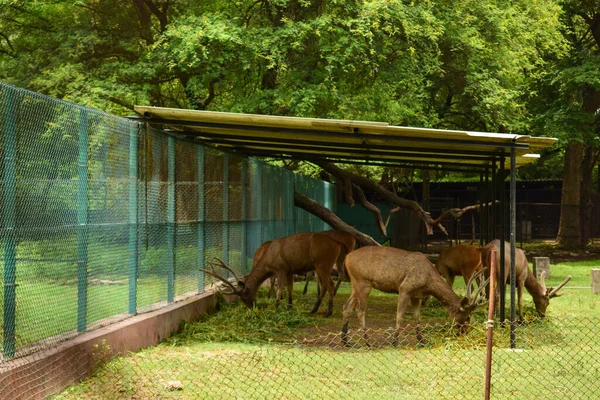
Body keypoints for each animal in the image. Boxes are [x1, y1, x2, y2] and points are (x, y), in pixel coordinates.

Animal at [202, 230, 354, 318]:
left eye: (244, 296)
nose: (252, 308)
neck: (267, 261)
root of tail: (338, 243)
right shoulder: (290, 270)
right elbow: (290, 289)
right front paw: (289, 307)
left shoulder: (281, 268)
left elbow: (280, 288)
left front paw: (276, 308)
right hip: (322, 265)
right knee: (325, 286)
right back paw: (314, 310)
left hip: (323, 263)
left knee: (330, 285)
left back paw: (328, 312)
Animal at [340, 245, 490, 346]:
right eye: (467, 316)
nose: (465, 332)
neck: (428, 282)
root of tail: (347, 258)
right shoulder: (404, 288)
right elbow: (399, 315)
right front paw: (395, 342)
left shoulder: (416, 295)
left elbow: (417, 316)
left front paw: (422, 340)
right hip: (363, 281)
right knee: (360, 310)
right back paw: (367, 341)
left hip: (355, 283)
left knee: (347, 306)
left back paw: (345, 341)